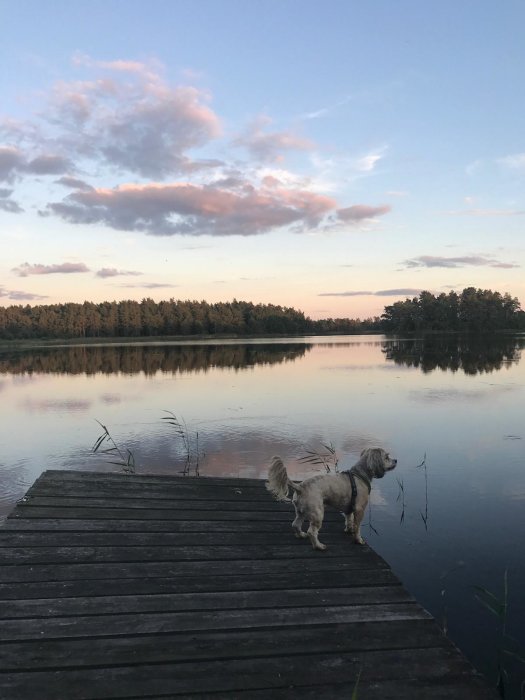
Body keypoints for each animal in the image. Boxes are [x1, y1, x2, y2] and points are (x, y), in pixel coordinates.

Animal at [266, 448, 398, 552]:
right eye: (387, 457)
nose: (396, 460)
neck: (359, 475)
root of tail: (300, 487)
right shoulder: (359, 510)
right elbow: (357, 527)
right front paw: (358, 540)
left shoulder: (349, 509)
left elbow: (349, 521)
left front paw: (348, 530)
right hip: (317, 514)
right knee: (312, 532)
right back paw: (318, 546)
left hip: (301, 512)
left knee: (295, 524)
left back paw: (301, 535)